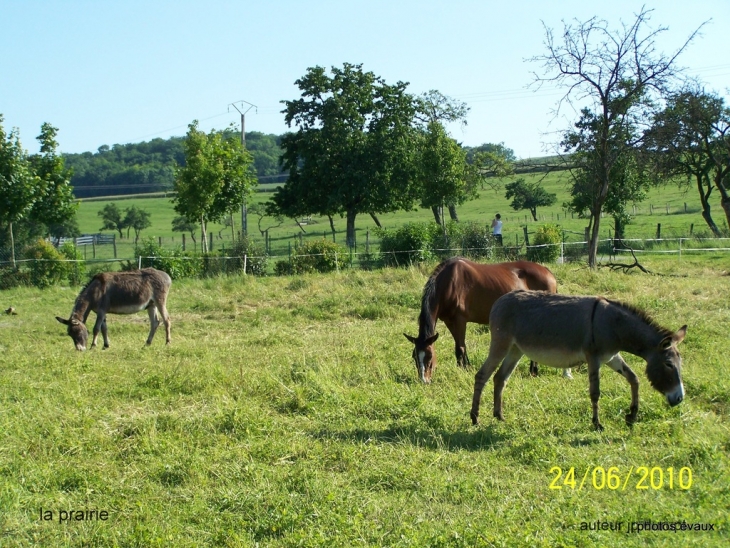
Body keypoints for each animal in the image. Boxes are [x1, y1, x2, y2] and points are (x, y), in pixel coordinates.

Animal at [404, 258, 556, 384]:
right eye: (414, 356)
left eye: (430, 356)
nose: (424, 380)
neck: (449, 282)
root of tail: (547, 272)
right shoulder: (449, 321)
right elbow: (460, 346)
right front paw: (466, 366)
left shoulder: (460, 320)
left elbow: (460, 347)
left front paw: (463, 369)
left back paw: (533, 371)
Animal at [470, 292, 684, 432]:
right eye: (668, 364)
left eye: (680, 364)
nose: (680, 398)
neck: (614, 326)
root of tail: (499, 300)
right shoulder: (594, 358)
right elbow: (595, 392)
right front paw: (597, 424)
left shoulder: (611, 357)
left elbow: (634, 378)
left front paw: (632, 416)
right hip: (501, 343)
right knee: (482, 375)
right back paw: (475, 418)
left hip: (516, 350)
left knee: (500, 378)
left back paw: (499, 416)